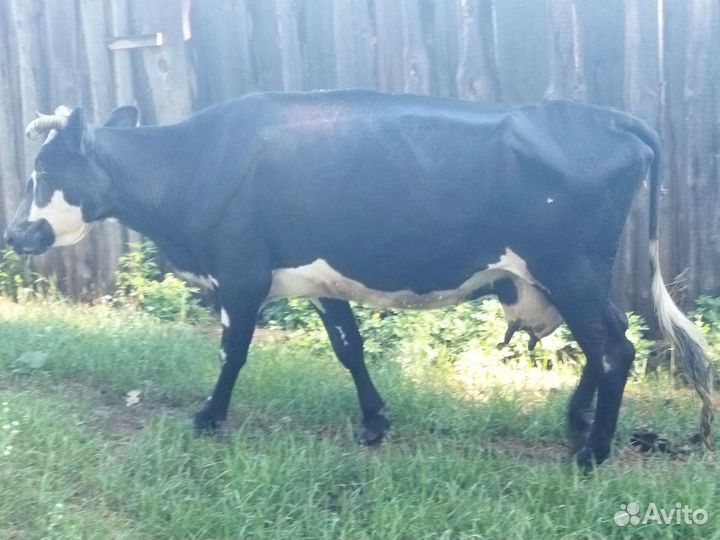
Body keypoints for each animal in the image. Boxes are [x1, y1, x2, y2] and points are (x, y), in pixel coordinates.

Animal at [3, 90, 714, 469]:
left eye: (45, 170)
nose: (14, 234)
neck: (193, 164)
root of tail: (609, 116)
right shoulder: (316, 278)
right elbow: (349, 347)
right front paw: (374, 421)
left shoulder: (240, 271)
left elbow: (233, 350)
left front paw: (207, 417)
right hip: (574, 273)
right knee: (610, 339)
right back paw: (576, 420)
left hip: (569, 266)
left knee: (613, 346)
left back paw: (592, 453)